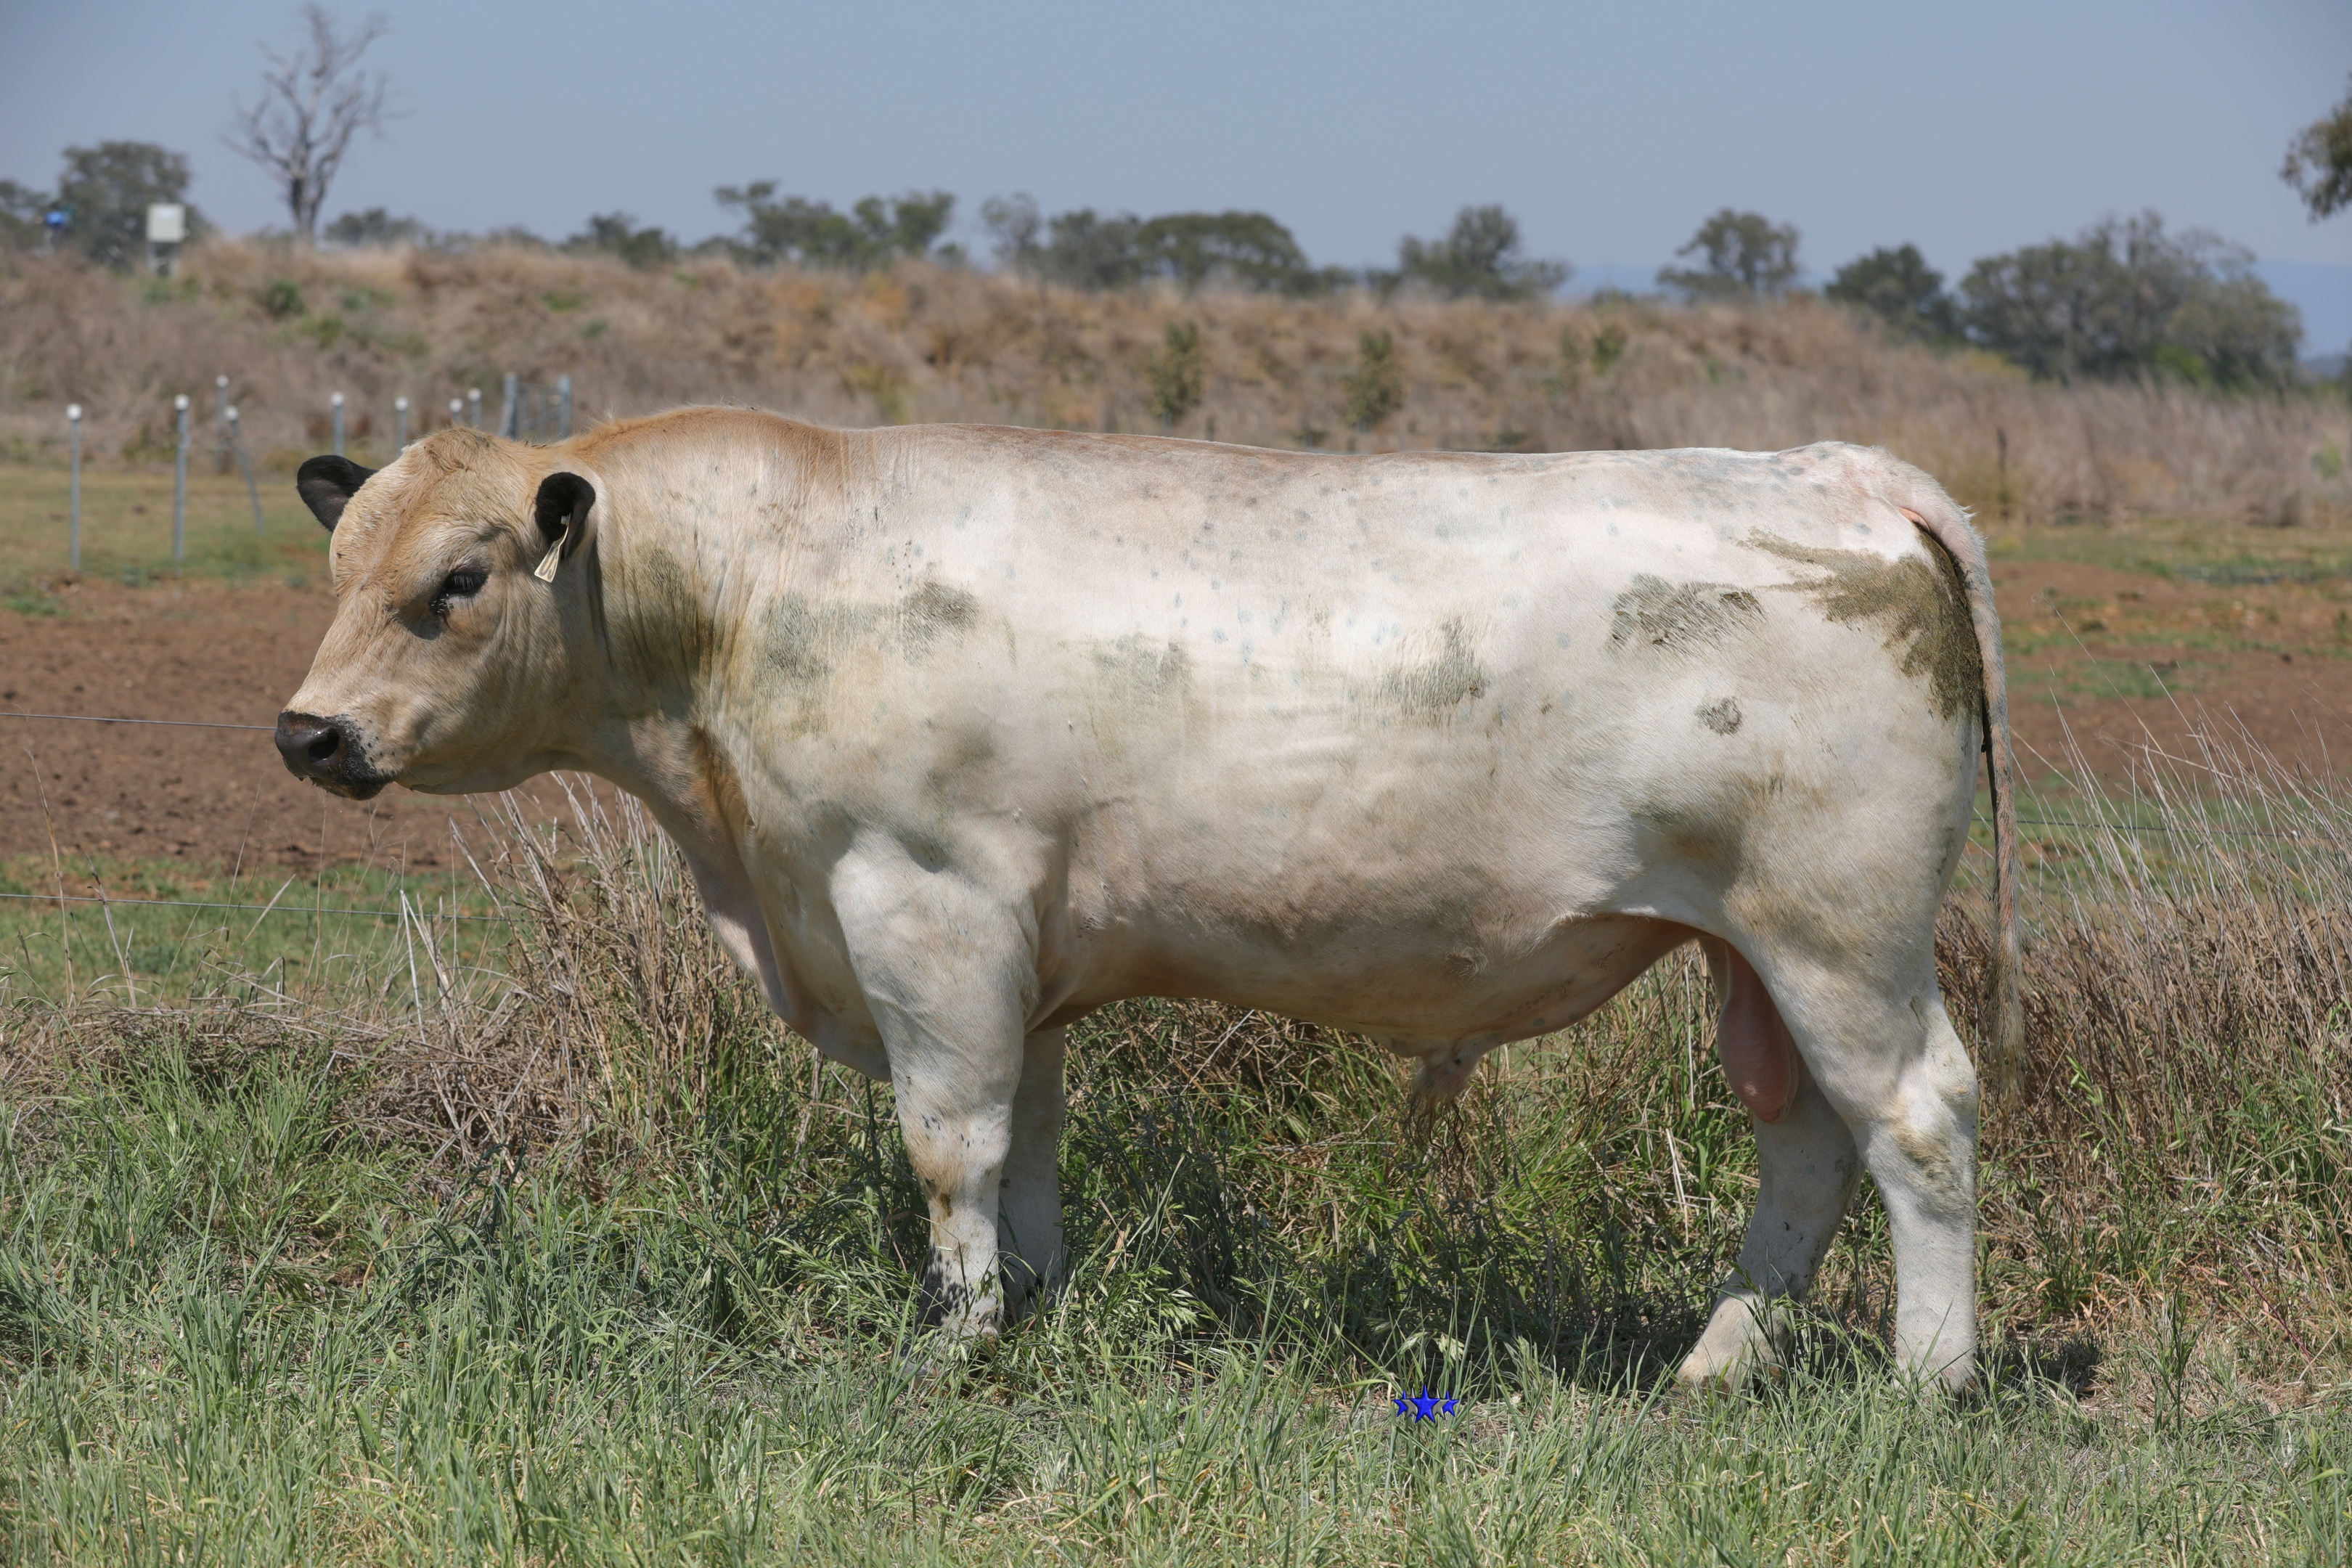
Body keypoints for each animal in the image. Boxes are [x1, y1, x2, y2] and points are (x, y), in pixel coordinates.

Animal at [278, 411, 2021, 1390]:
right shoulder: (1016, 952)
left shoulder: (922, 903)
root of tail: (1836, 472)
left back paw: (1927, 1378)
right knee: (1808, 1150)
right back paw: (1719, 1363)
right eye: (341, 569)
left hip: (1837, 928)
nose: (310, 734)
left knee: (1917, 1120)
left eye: (457, 582)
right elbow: (1030, 1144)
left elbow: (950, 1145)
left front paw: (958, 1344)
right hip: (1760, 956)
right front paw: (1033, 1308)